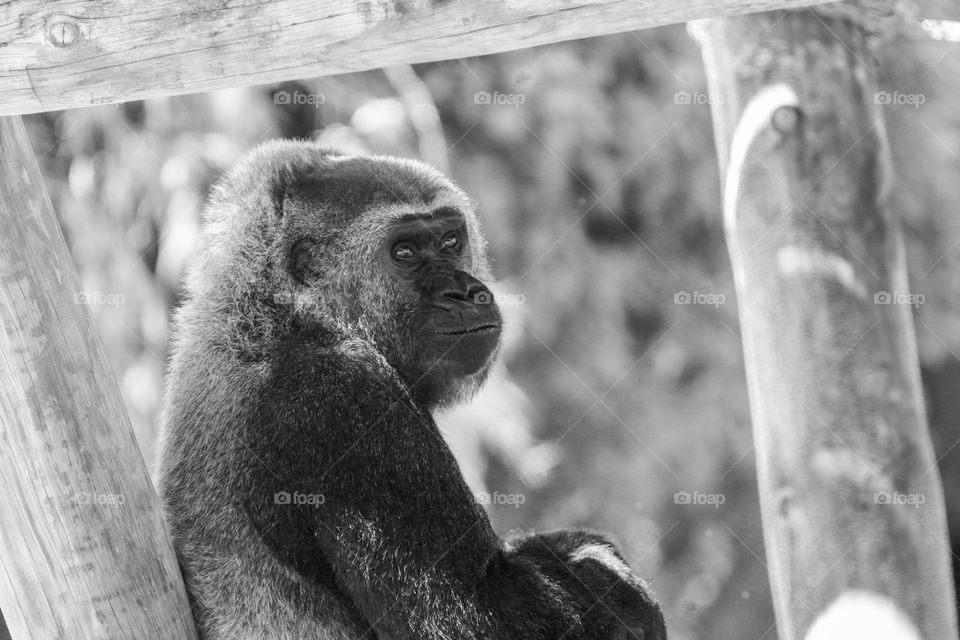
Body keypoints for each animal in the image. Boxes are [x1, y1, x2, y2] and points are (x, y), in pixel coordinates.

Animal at [154, 140, 666, 640]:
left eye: (451, 240)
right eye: (403, 252)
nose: (465, 292)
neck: (281, 310)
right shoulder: (343, 393)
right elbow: (486, 617)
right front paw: (599, 572)